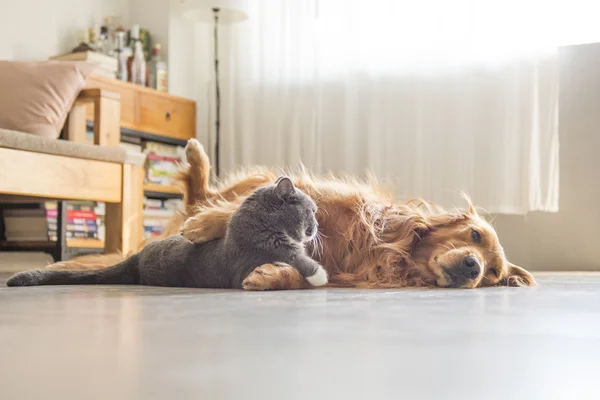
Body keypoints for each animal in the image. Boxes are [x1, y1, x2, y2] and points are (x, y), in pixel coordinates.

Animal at [5, 177, 328, 288]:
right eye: (311, 210)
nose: (317, 227)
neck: (261, 224)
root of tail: (136, 259)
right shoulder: (258, 253)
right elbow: (295, 257)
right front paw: (319, 275)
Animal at [45, 139, 536, 290]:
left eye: (494, 274)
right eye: (475, 237)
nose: (474, 268)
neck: (385, 249)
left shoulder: (343, 275)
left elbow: (304, 273)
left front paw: (269, 275)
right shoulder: (321, 197)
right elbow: (237, 212)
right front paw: (208, 225)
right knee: (202, 192)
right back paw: (196, 162)